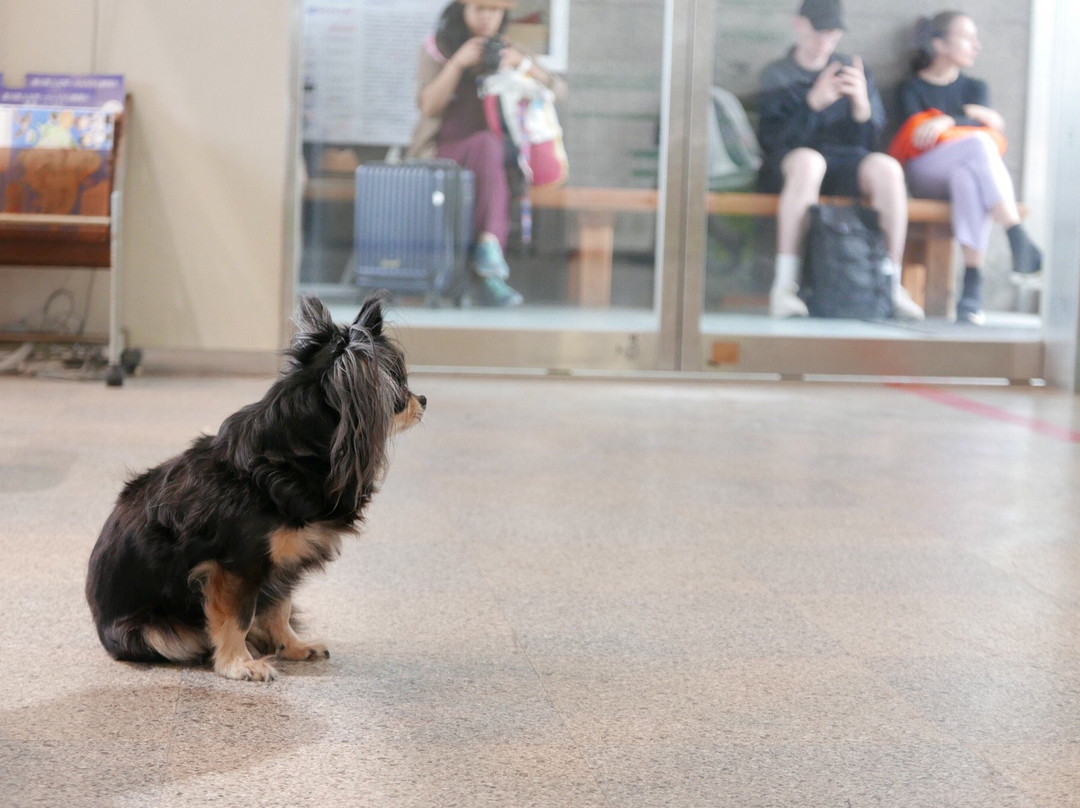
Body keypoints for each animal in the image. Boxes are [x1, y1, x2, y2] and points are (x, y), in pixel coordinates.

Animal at [85, 293, 421, 678]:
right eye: (399, 386)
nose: (423, 400)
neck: (287, 457)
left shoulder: (281, 566)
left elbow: (279, 608)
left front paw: (291, 646)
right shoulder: (237, 567)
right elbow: (237, 618)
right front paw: (238, 664)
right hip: (155, 632)